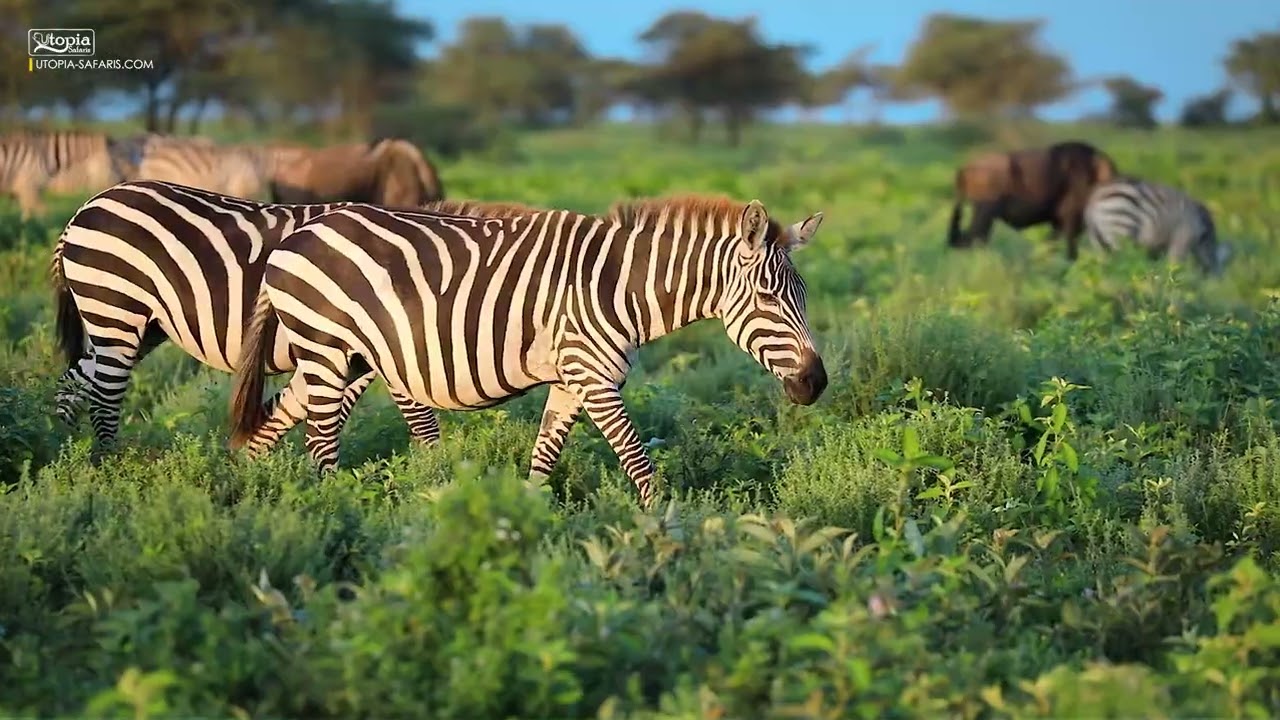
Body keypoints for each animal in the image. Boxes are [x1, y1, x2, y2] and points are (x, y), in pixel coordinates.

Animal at [50, 179, 528, 458]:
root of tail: (87, 205)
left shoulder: (354, 356)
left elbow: (293, 410)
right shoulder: (385, 350)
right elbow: (422, 424)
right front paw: (436, 481)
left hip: (143, 324)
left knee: (75, 379)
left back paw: (63, 453)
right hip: (116, 308)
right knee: (104, 394)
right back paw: (109, 463)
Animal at [227, 195, 829, 506]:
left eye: (804, 295)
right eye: (769, 298)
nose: (816, 383)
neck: (621, 288)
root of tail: (296, 234)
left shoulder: (571, 380)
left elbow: (543, 463)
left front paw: (529, 534)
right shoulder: (595, 378)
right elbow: (640, 465)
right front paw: (667, 535)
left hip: (340, 358)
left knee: (271, 424)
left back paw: (248, 498)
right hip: (327, 351)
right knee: (320, 444)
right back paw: (332, 511)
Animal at [1084, 177, 1232, 275]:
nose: (1216, 285)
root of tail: (1096, 198)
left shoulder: (1157, 248)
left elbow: (1156, 270)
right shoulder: (1182, 238)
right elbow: (1173, 267)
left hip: (1099, 241)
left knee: (1106, 265)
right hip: (1121, 230)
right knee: (1119, 263)